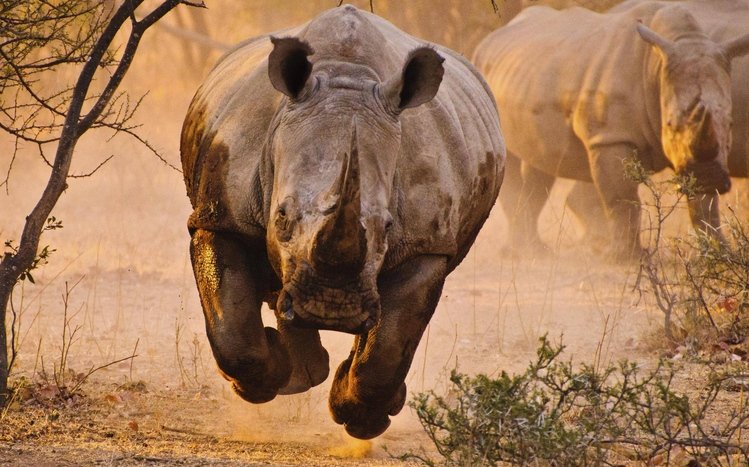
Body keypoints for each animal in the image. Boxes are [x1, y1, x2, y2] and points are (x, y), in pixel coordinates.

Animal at [180, 5, 505, 439]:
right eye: (281, 216)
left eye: (388, 227)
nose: (331, 306)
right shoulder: (220, 215)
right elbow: (233, 332)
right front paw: (265, 380)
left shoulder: (427, 244)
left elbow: (388, 348)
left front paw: (362, 418)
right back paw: (300, 374)